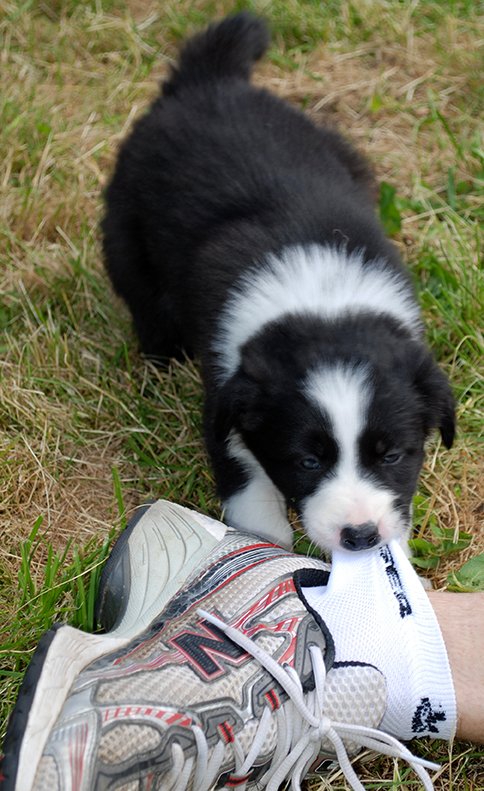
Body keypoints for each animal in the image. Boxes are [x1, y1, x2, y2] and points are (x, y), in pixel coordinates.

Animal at [102, 13, 455, 555]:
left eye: (392, 455)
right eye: (308, 461)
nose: (360, 536)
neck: (324, 299)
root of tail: (211, 80)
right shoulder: (226, 395)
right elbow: (248, 485)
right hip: (125, 230)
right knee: (143, 296)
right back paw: (160, 357)